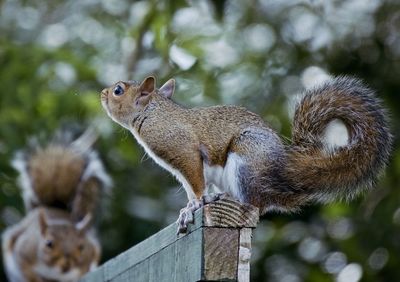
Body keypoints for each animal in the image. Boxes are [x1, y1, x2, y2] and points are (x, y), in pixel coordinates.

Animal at [1, 129, 111, 280]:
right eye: (49, 244)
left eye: (82, 247)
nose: (67, 265)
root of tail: (56, 206)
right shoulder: (23, 251)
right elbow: (26, 271)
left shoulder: (87, 258)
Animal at [99, 75, 390, 231]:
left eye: (118, 90)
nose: (102, 93)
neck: (153, 113)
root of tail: (282, 176)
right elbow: (192, 186)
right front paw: (191, 205)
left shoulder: (183, 150)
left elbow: (196, 184)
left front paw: (193, 205)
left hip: (246, 159)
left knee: (255, 204)